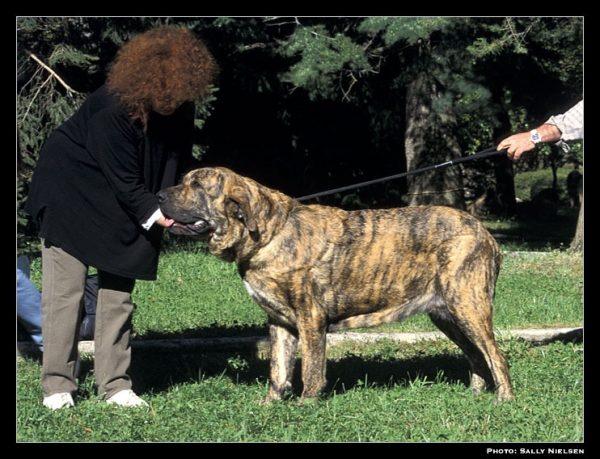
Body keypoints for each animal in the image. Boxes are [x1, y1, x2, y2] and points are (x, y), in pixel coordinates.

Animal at [157, 167, 512, 404]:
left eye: (197, 185)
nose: (158, 195)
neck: (270, 234)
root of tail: (485, 232)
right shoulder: (279, 321)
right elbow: (278, 369)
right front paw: (271, 404)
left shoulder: (309, 317)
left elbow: (311, 369)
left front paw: (306, 405)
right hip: (447, 315)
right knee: (477, 355)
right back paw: (474, 394)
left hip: (468, 306)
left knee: (496, 354)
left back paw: (504, 399)